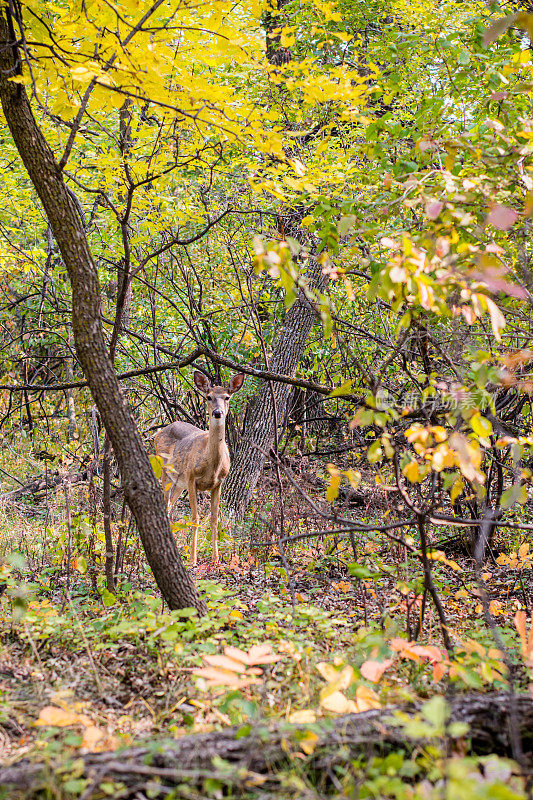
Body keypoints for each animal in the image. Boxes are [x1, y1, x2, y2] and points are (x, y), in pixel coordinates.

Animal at [154, 372, 245, 564]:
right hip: (165, 471)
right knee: (165, 505)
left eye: (227, 397)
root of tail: (158, 432)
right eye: (208, 397)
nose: (217, 412)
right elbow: (195, 518)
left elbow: (214, 519)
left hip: (179, 483)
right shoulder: (191, 479)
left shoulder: (219, 483)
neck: (212, 465)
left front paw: (215, 559)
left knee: (169, 508)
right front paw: (193, 559)